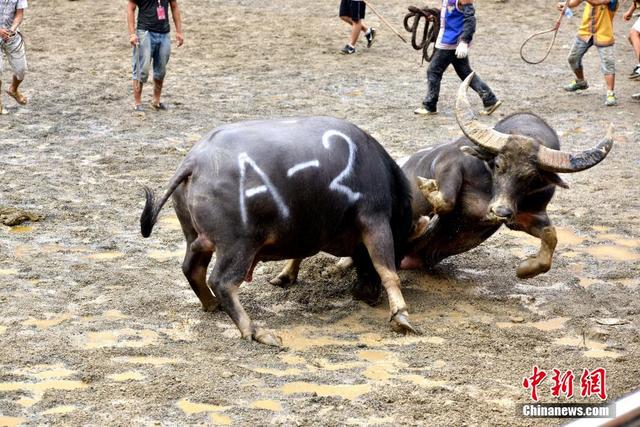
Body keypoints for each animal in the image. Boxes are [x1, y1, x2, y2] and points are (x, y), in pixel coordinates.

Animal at [140, 115, 420, 346]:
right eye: (400, 250)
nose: (366, 294)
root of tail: (194, 162)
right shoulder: (375, 218)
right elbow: (386, 270)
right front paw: (401, 317)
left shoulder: (307, 227)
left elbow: (301, 252)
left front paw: (285, 276)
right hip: (238, 245)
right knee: (222, 282)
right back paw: (255, 331)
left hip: (195, 237)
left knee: (192, 269)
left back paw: (211, 305)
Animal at [402, 74, 612, 278]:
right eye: (497, 165)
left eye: (531, 177)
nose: (499, 211)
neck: (489, 188)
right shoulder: (449, 162)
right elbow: (446, 201)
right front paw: (427, 188)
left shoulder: (525, 215)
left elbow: (550, 235)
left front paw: (526, 269)